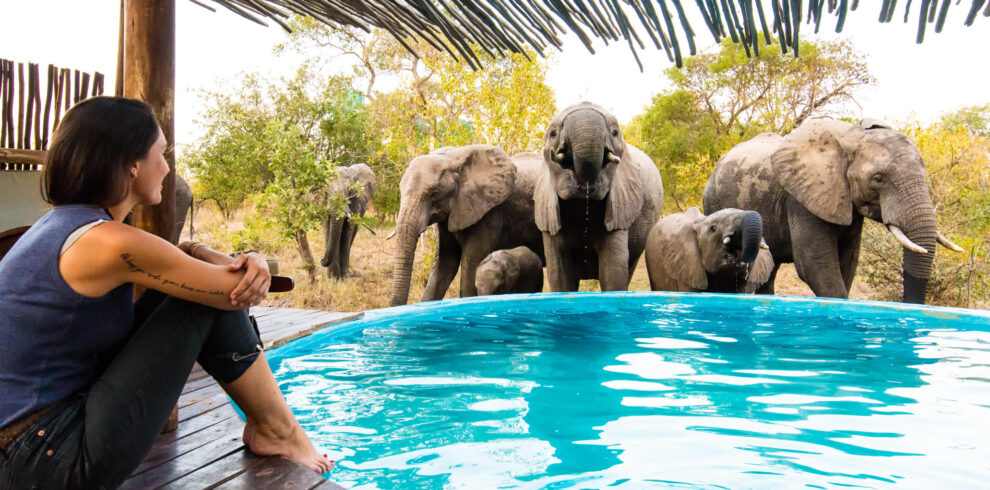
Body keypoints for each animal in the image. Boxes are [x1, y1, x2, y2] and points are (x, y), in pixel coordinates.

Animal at [702, 118, 962, 303]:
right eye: (878, 179)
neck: (854, 139)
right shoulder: (802, 198)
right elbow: (816, 264)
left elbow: (848, 261)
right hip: (714, 201)